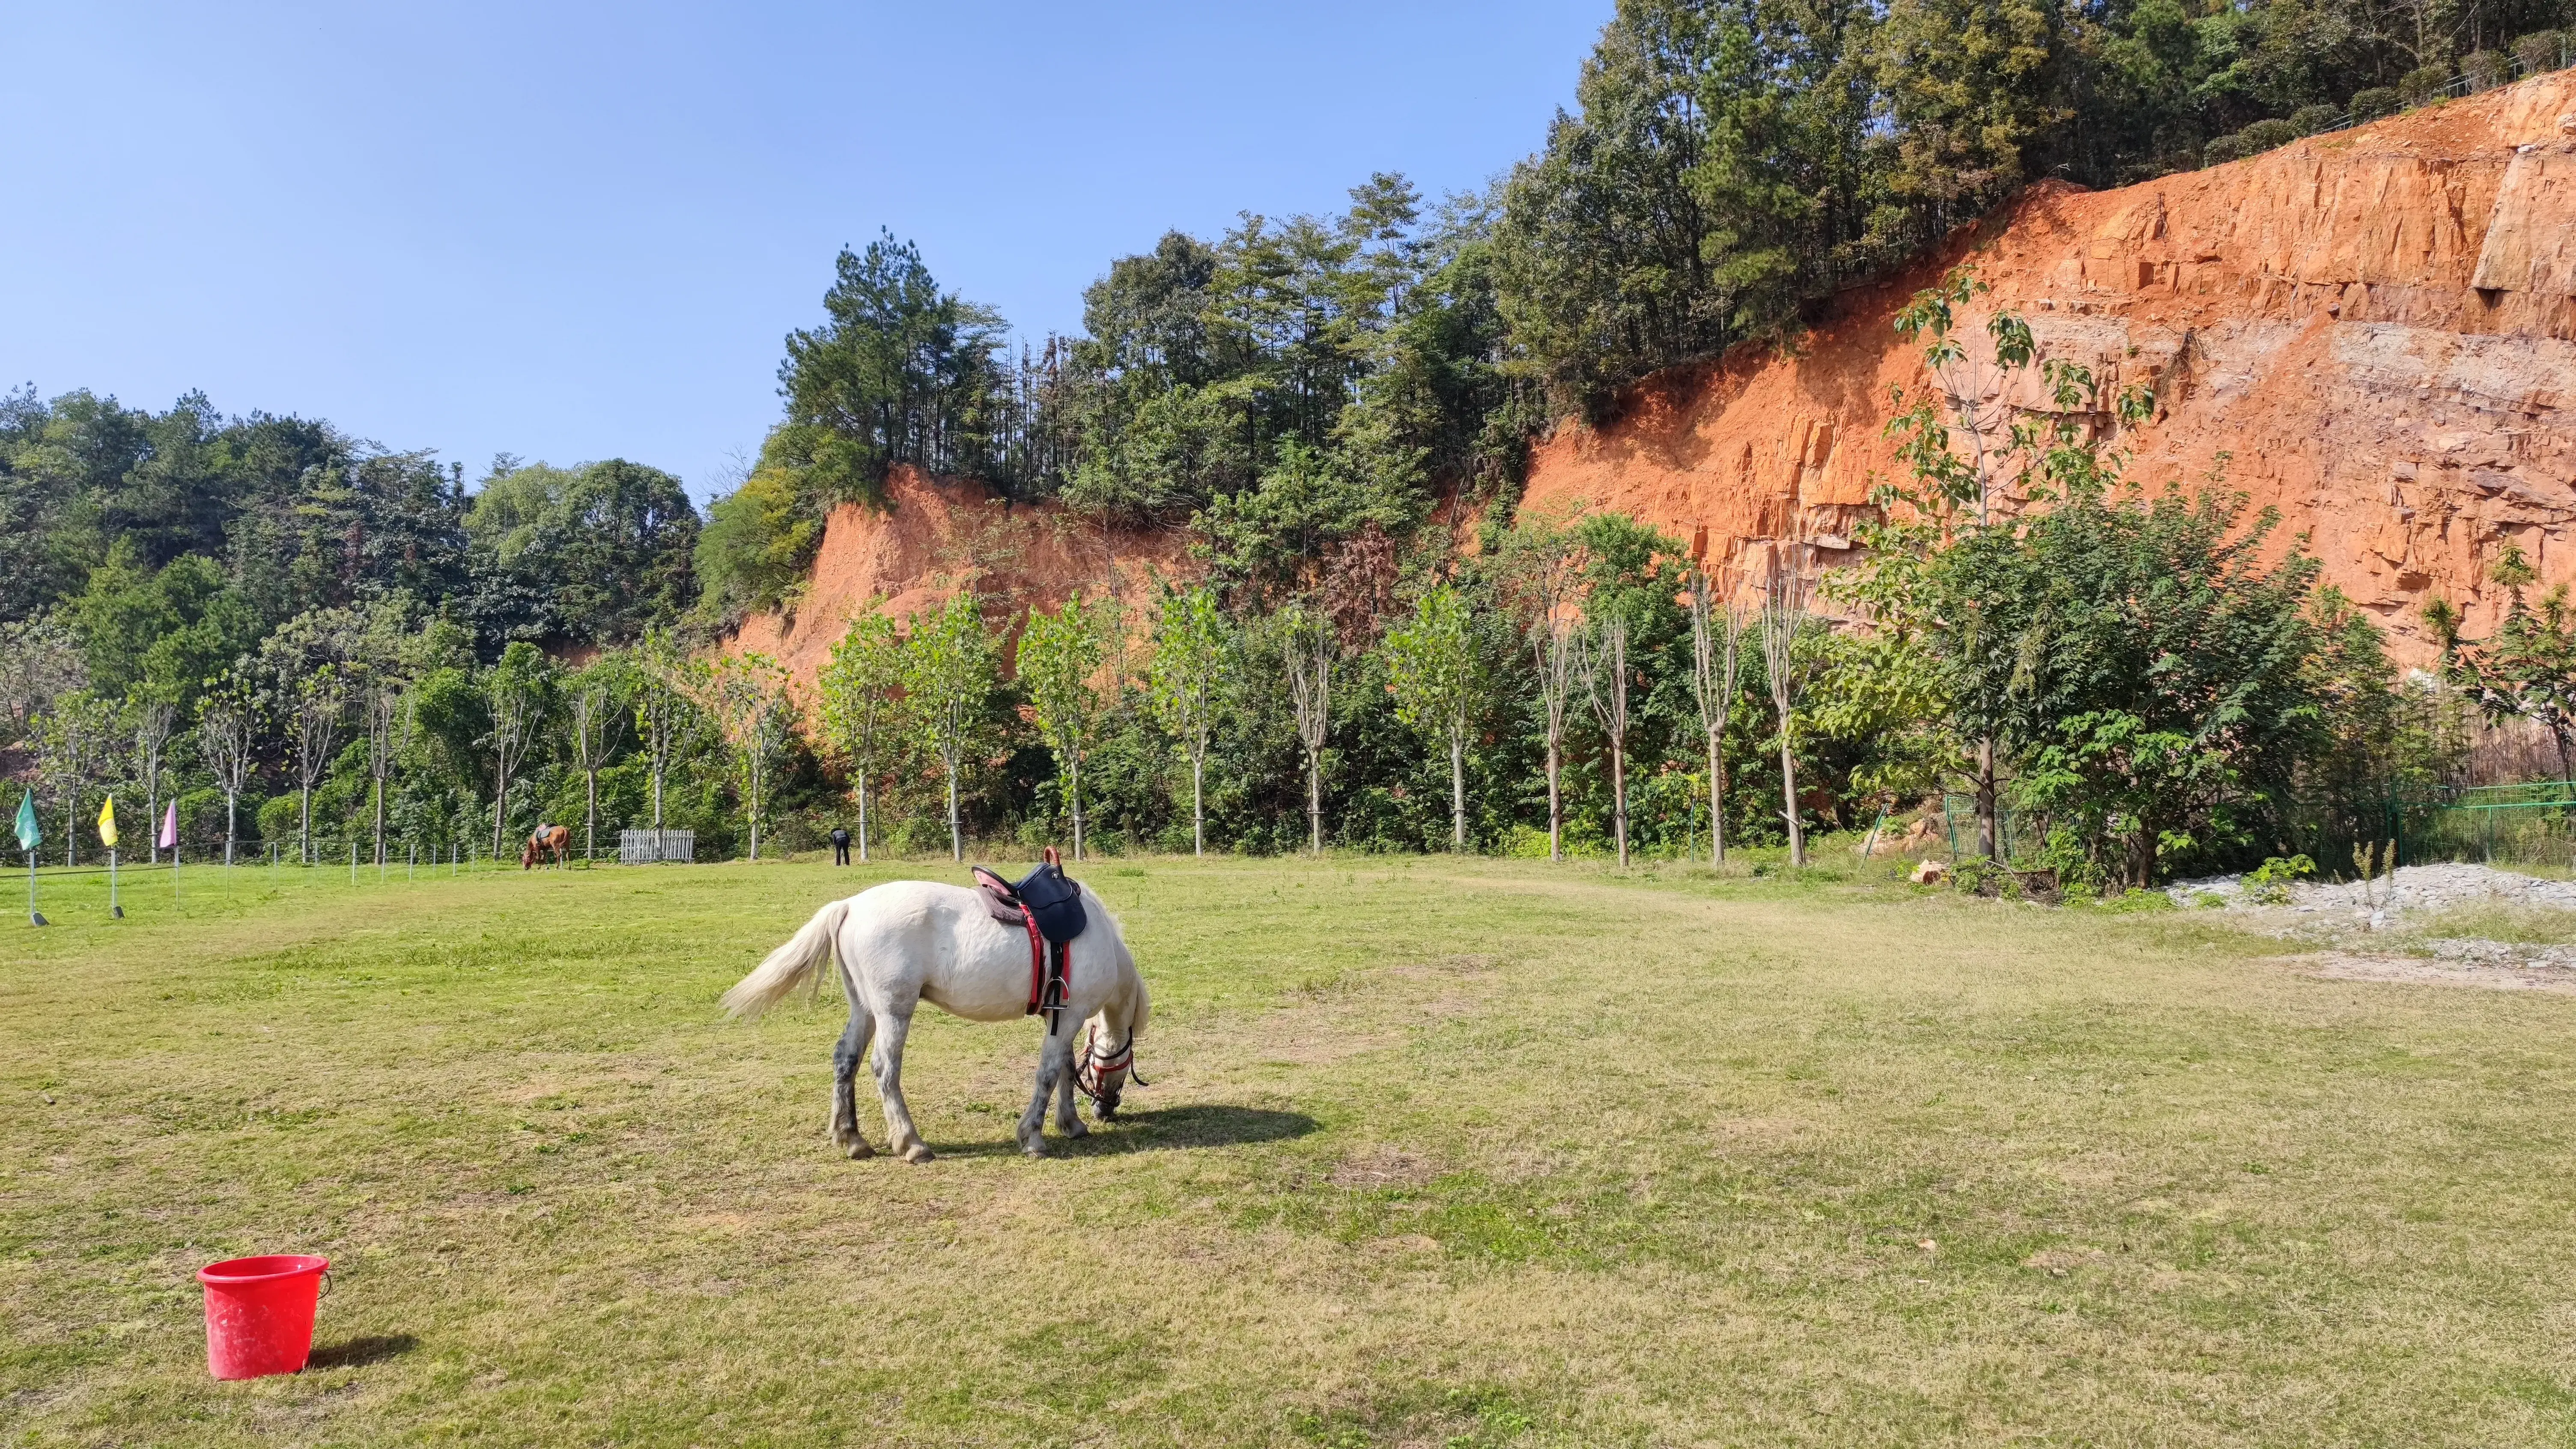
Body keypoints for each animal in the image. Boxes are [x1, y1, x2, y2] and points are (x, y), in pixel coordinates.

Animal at [711, 877, 1144, 1155]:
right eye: (1127, 1063)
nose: (1107, 1109)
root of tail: (849, 906)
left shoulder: (1062, 1018)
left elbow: (1066, 1069)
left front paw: (1071, 1124)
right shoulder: (1068, 1017)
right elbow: (1050, 1073)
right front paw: (1034, 1137)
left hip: (865, 1009)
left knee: (845, 1060)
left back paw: (852, 1139)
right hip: (894, 1010)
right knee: (884, 1068)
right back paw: (911, 1143)